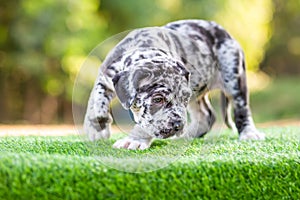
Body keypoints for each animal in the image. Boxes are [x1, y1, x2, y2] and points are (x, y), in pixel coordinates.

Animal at [83, 19, 264, 149]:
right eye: (158, 99)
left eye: (183, 99)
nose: (178, 125)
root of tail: (223, 32)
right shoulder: (105, 78)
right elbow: (96, 103)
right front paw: (97, 129)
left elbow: (147, 123)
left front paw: (135, 140)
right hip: (198, 91)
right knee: (206, 115)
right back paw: (188, 135)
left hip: (234, 78)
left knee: (242, 109)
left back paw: (248, 133)